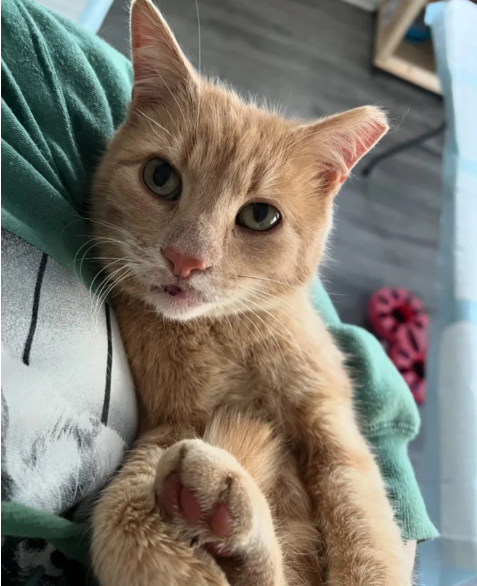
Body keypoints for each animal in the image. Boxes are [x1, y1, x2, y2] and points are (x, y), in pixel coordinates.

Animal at [91, 1, 408, 584]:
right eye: (160, 177)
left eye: (260, 216)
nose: (186, 259)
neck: (221, 332)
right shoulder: (171, 424)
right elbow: (125, 519)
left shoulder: (331, 425)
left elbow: (366, 538)